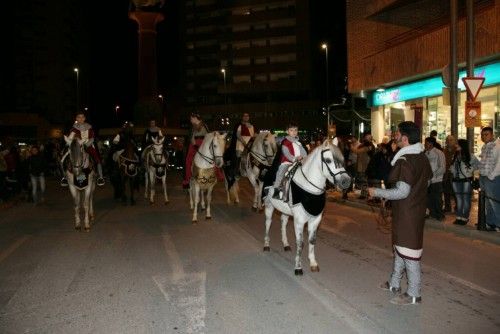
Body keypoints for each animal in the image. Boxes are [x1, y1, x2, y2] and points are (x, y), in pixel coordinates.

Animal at [264, 138, 350, 274]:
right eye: (328, 160)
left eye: (342, 160)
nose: (346, 181)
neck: (309, 186)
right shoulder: (299, 221)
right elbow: (300, 243)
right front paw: (298, 267)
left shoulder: (315, 219)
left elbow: (311, 240)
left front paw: (313, 263)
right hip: (269, 206)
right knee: (268, 222)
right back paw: (266, 245)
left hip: (286, 211)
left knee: (283, 223)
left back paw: (285, 244)